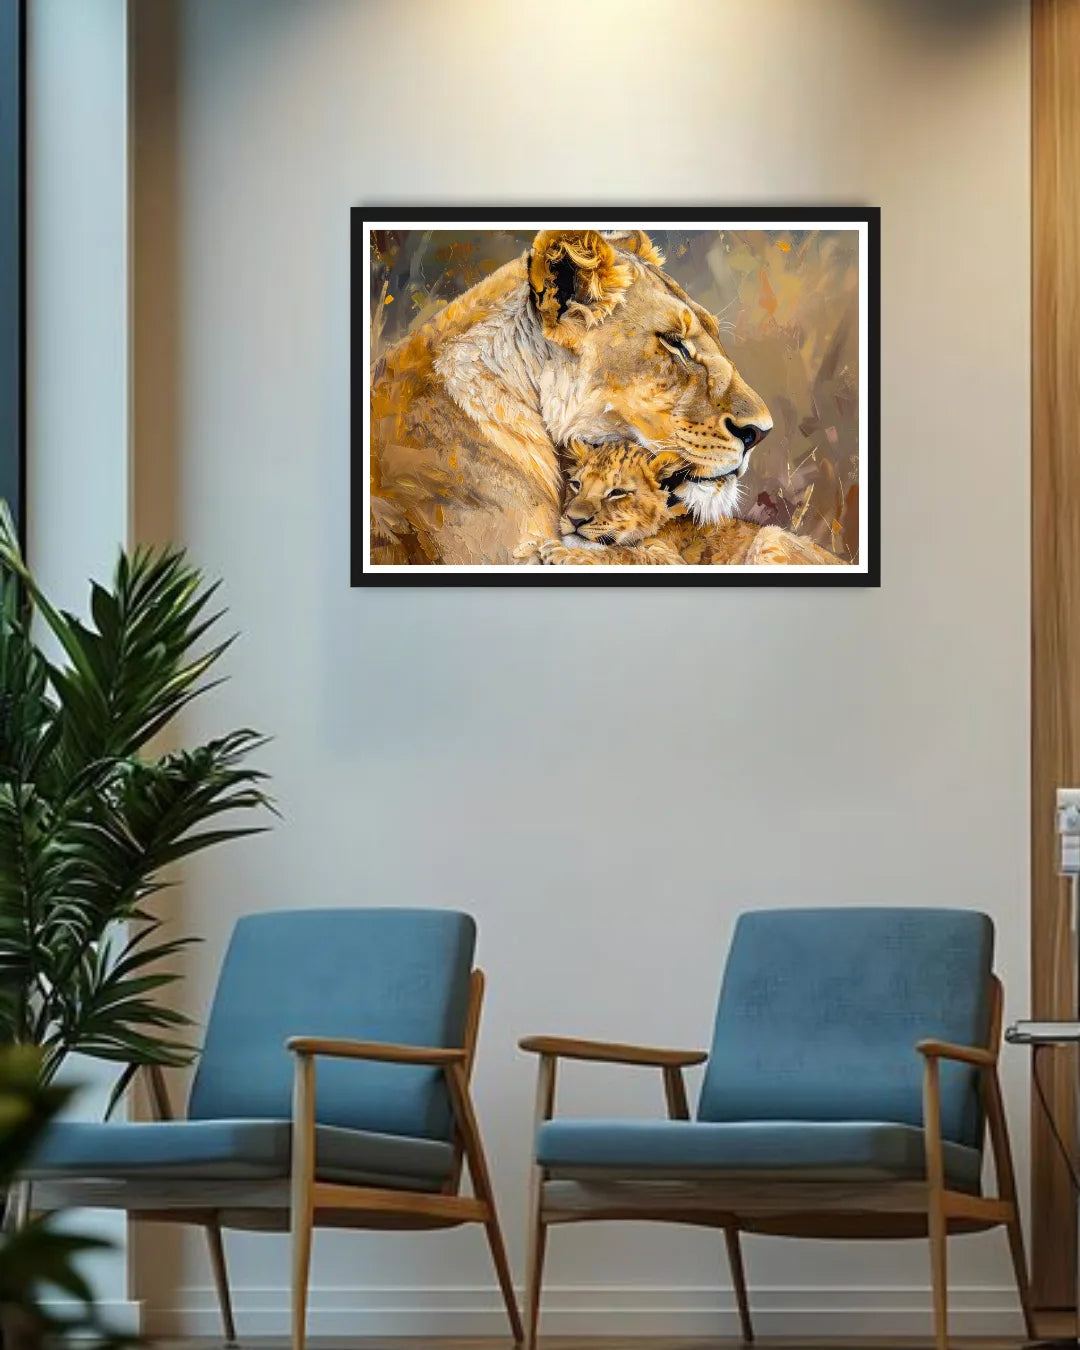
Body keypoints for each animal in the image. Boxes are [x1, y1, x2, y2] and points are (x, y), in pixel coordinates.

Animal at [520, 438, 843, 567]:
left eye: (617, 492)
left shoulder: (669, 559)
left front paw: (562, 552)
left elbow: (622, 555)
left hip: (771, 535)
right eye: (576, 485)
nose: (574, 520)